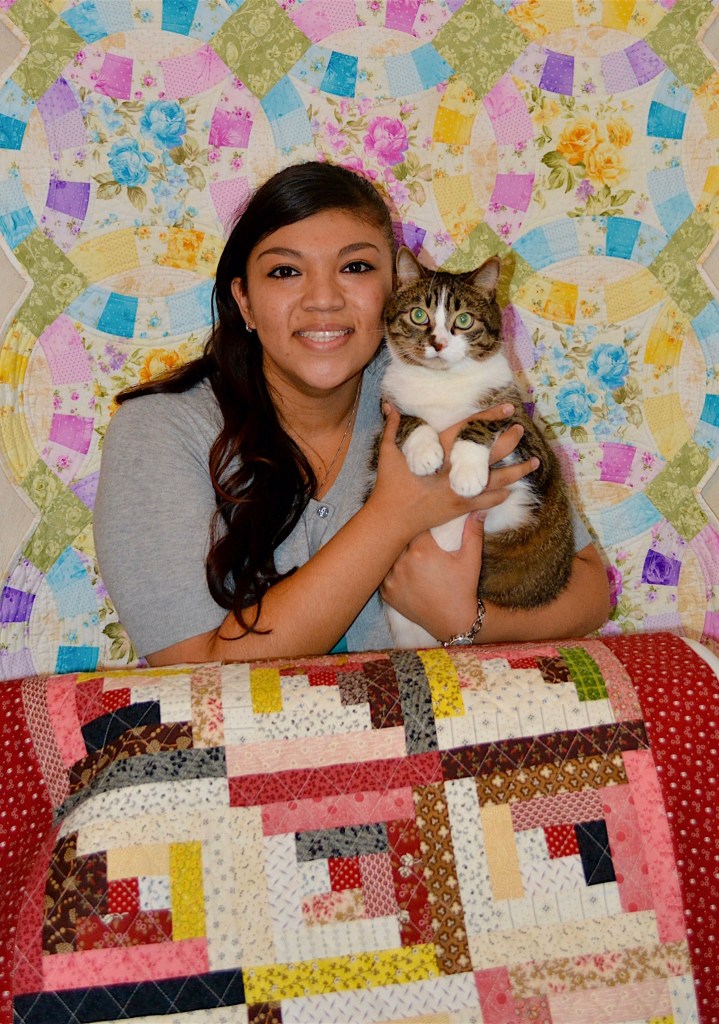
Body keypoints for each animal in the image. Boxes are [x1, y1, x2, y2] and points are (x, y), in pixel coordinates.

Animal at [380, 246, 575, 649]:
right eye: (418, 315)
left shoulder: (529, 438)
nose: (438, 343)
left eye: (464, 320)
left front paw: (467, 473)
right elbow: (407, 420)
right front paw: (425, 453)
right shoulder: (385, 420)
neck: (441, 384)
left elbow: (483, 420)